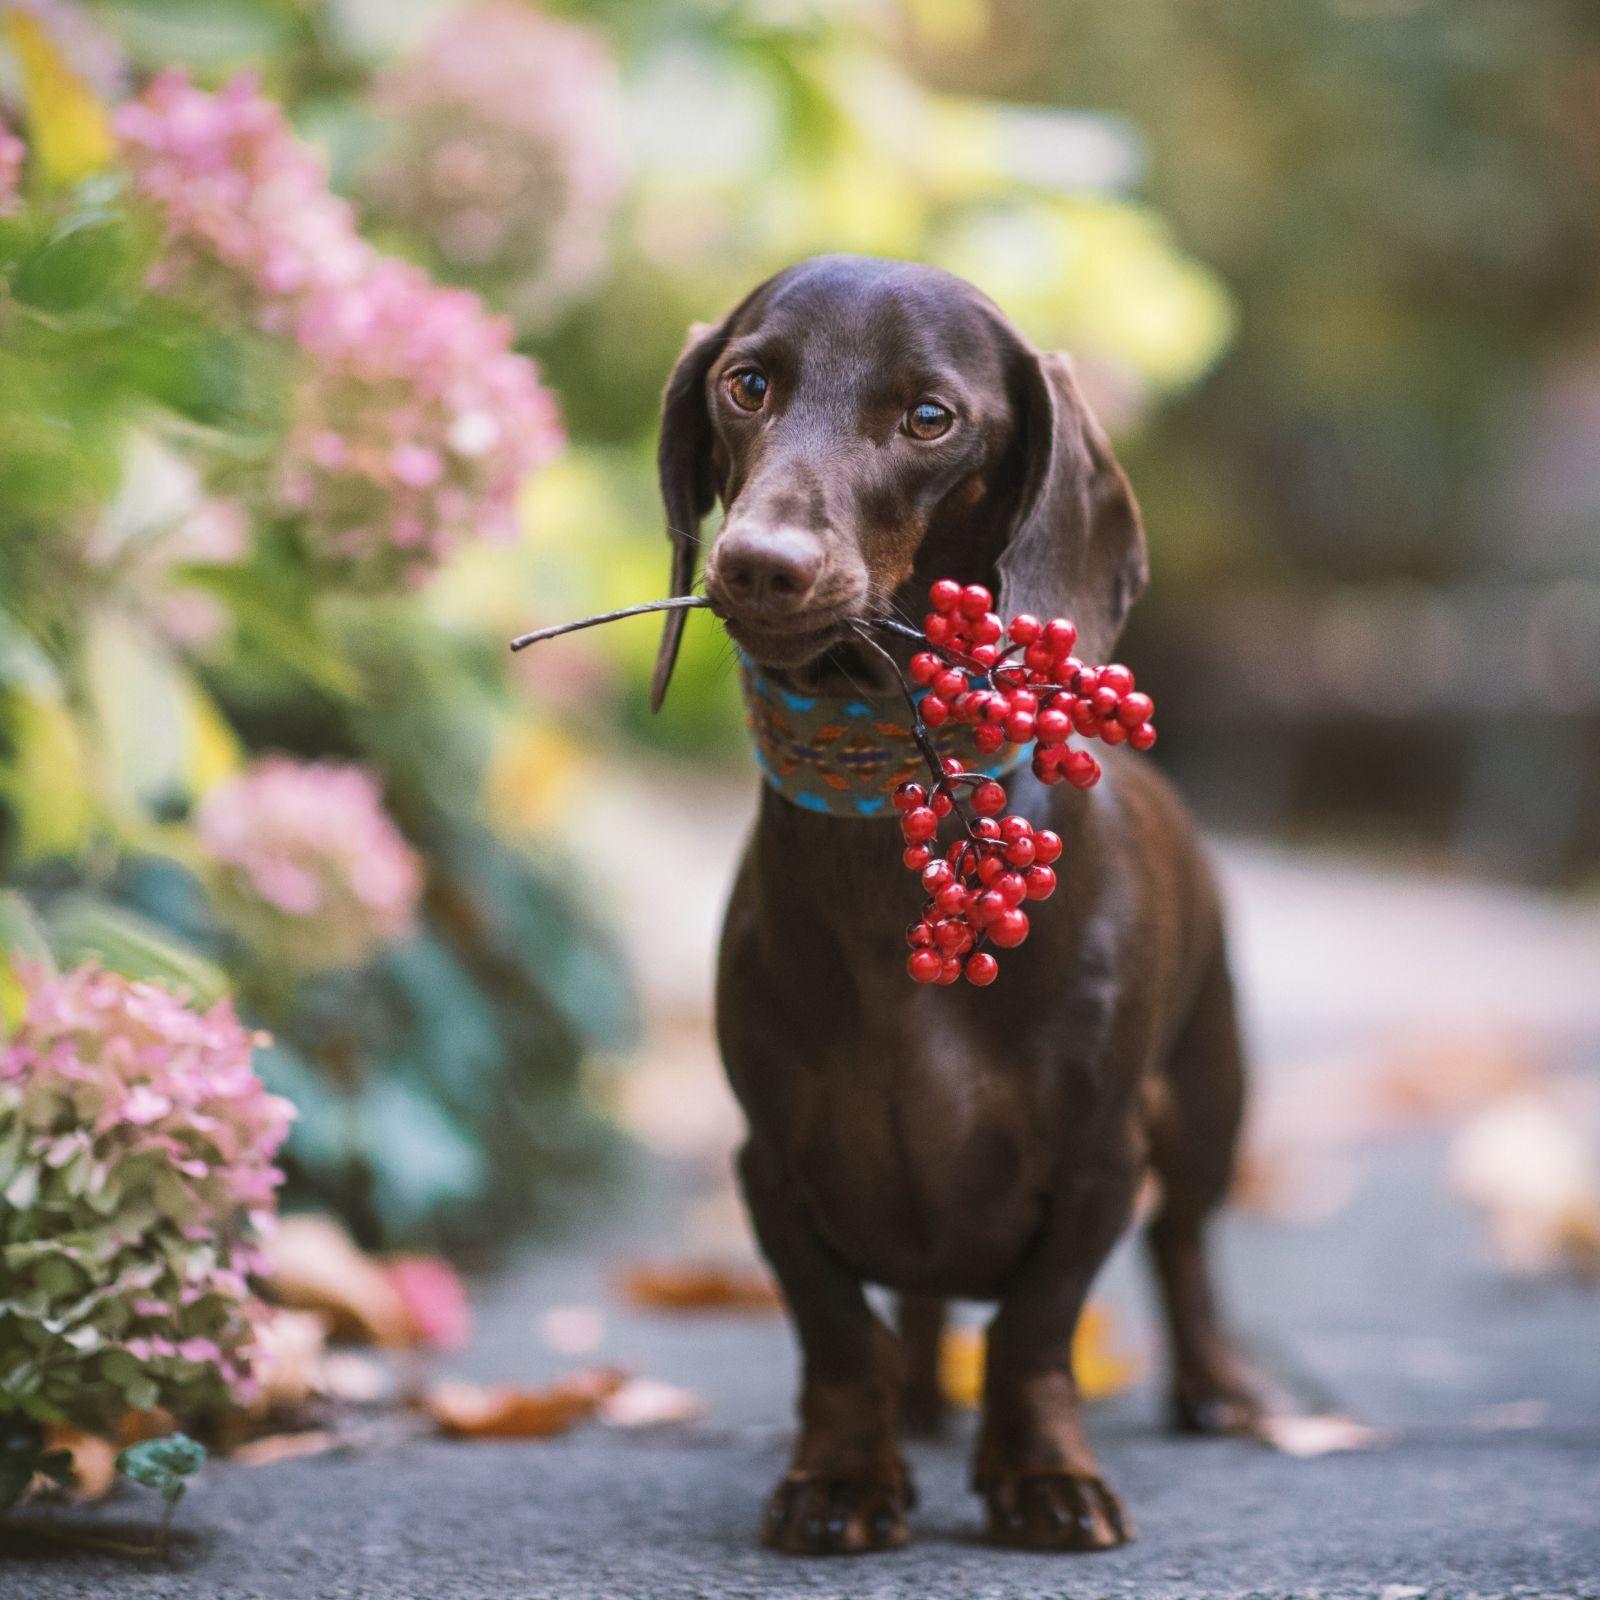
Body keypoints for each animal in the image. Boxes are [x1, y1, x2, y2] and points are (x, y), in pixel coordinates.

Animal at [646, 259, 1260, 1548]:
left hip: (1207, 1105)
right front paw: (842, 1475)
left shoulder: (1097, 1166)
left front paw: (1044, 1476)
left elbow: (1035, 1332)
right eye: (746, 383)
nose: (760, 564)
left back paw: (1215, 1384)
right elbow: (839, 1335)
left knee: (1184, 1248)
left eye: (929, 417)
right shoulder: (769, 1167)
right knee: (919, 1305)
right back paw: (922, 1401)